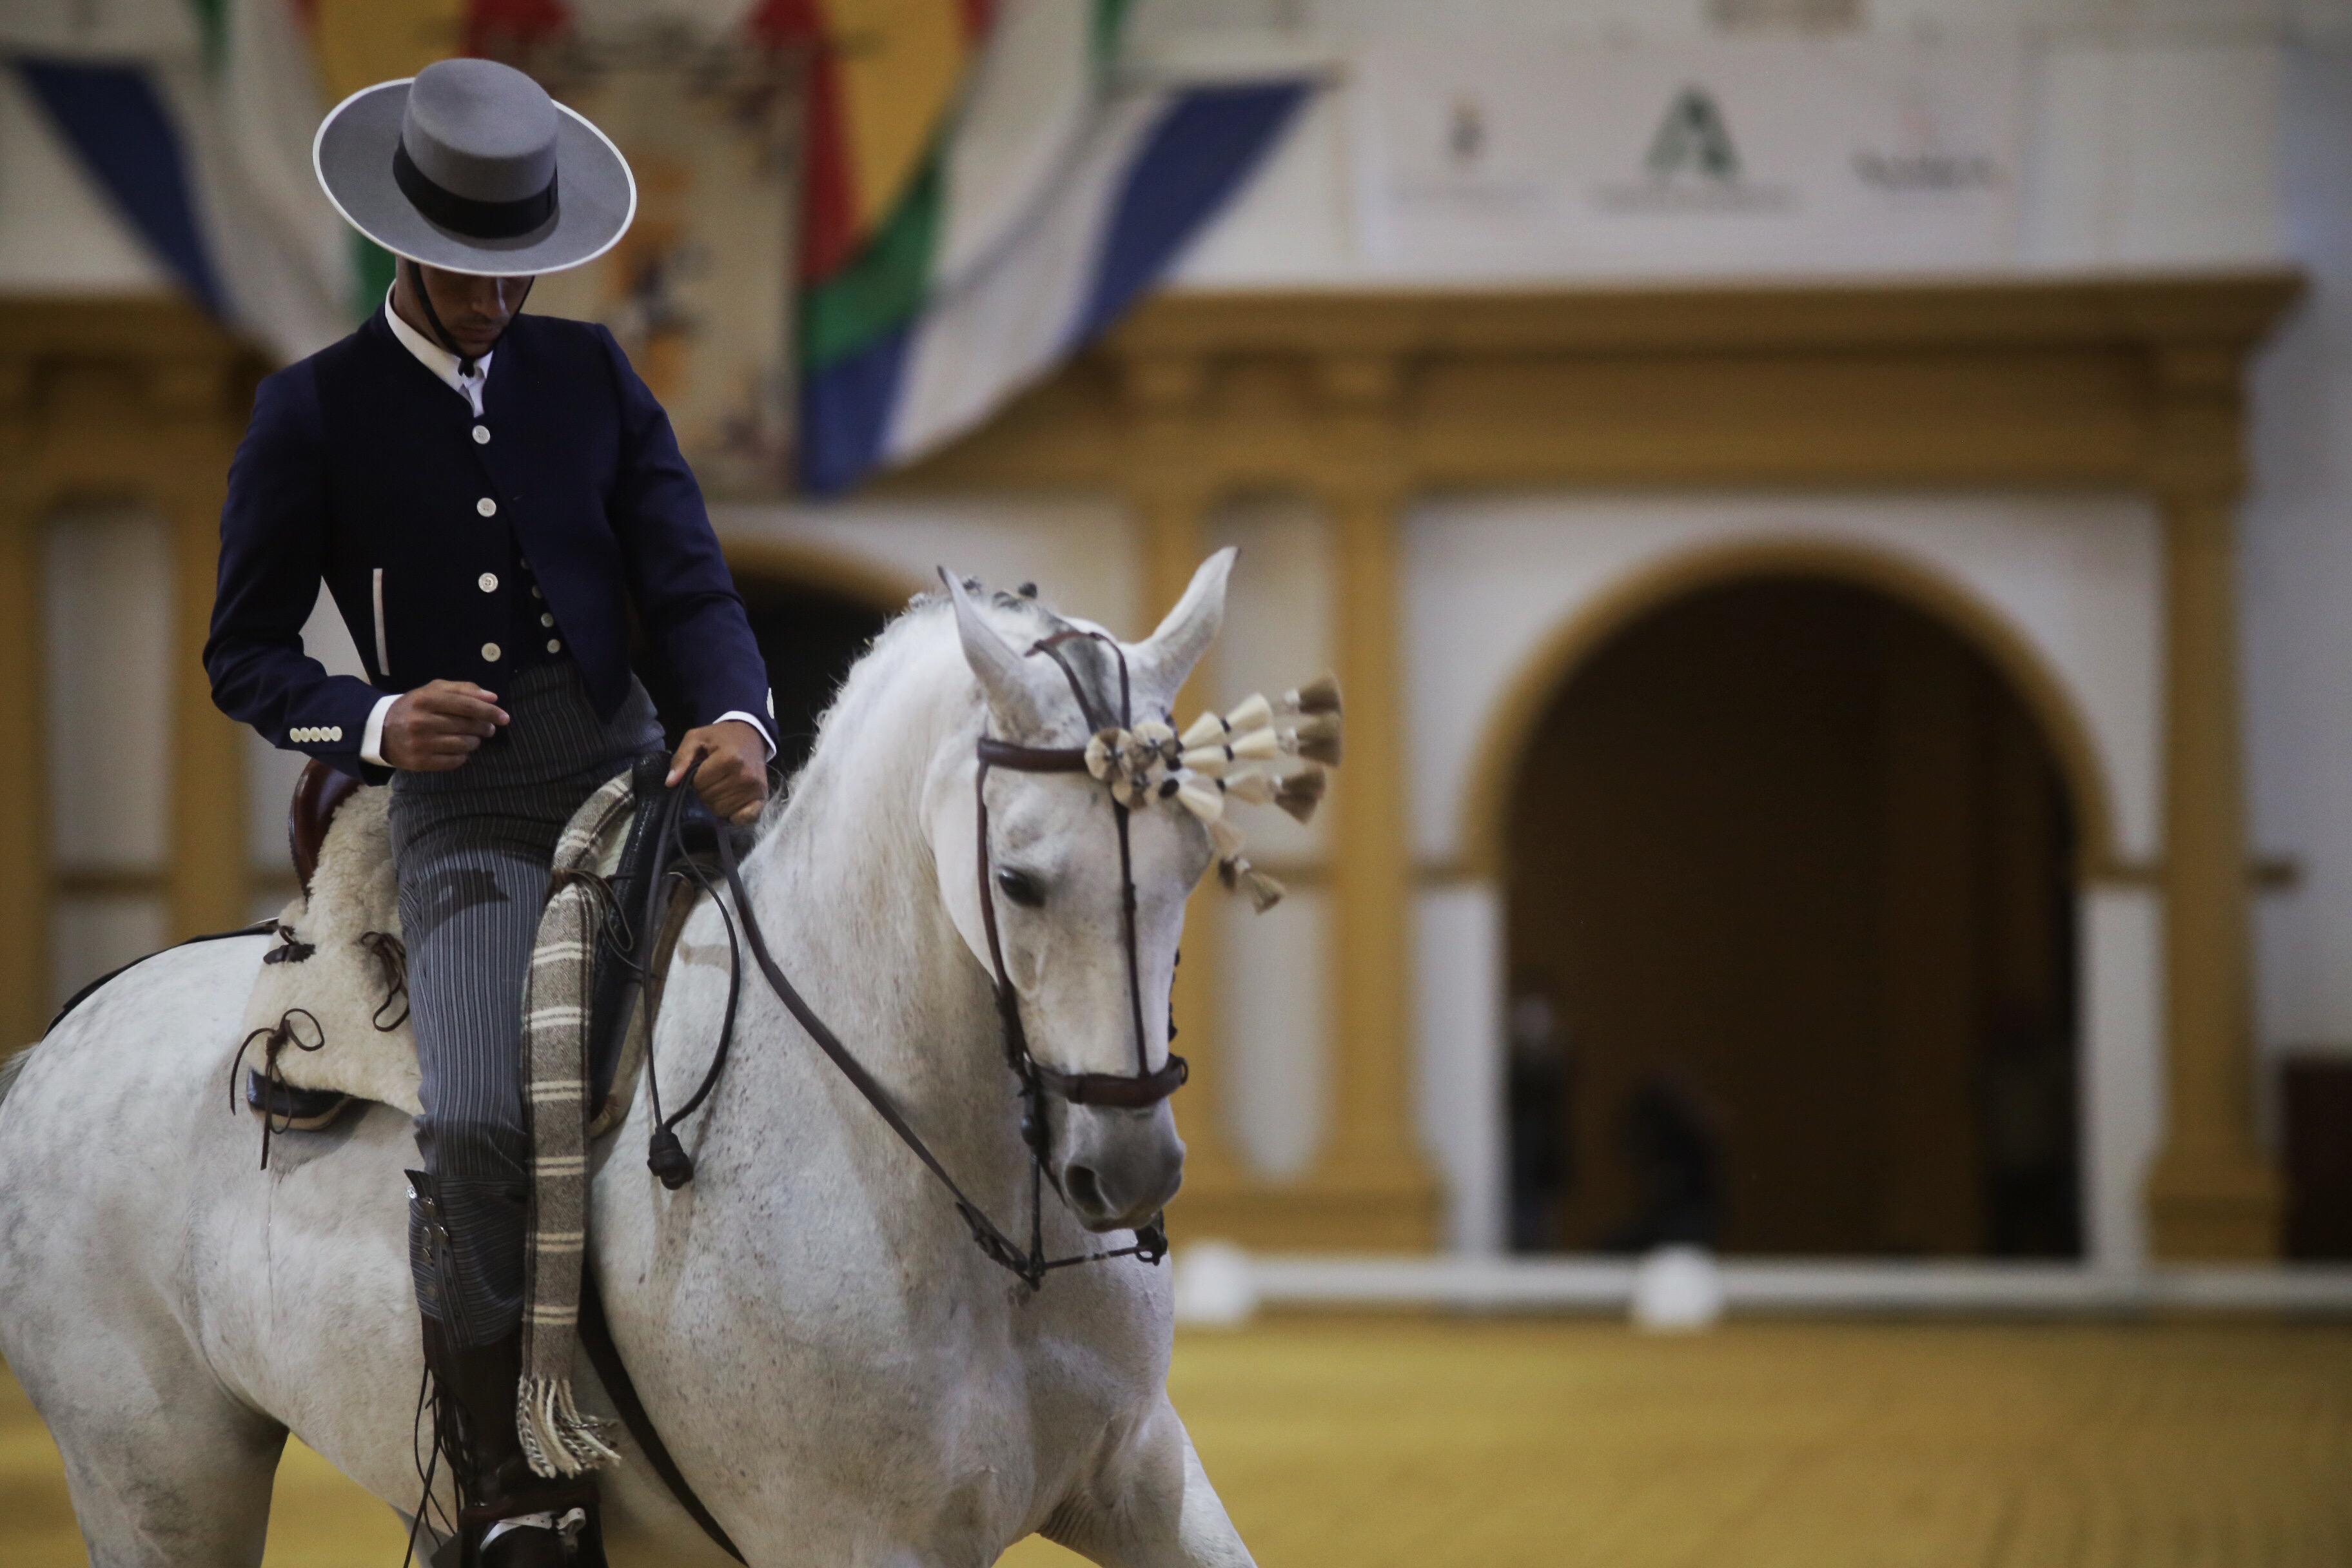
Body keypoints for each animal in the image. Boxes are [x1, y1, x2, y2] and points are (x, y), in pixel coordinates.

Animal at [0, 554, 1260, 1568]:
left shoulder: (1146, 1478)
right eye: (1018, 880)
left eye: (1194, 856)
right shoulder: (853, 1541)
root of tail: (57, 1041)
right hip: (161, 1486)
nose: (1129, 1167)